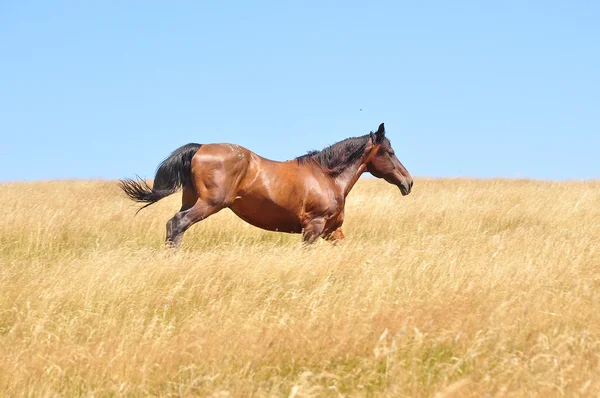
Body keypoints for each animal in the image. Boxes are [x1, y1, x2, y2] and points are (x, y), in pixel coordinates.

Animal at [120, 123, 414, 246]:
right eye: (390, 152)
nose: (408, 183)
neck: (328, 177)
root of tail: (199, 147)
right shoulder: (313, 227)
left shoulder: (333, 231)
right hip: (209, 204)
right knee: (177, 224)